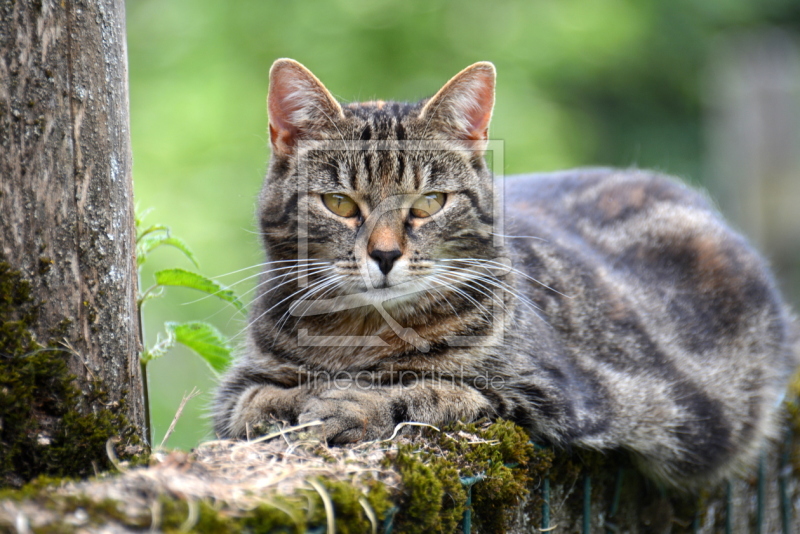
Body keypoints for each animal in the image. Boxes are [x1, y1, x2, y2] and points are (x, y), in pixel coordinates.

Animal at [214, 59, 800, 490]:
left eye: (429, 203)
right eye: (339, 203)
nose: (384, 255)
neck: (360, 336)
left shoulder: (547, 397)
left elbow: (429, 388)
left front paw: (348, 402)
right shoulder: (237, 387)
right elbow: (253, 399)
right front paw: (300, 398)